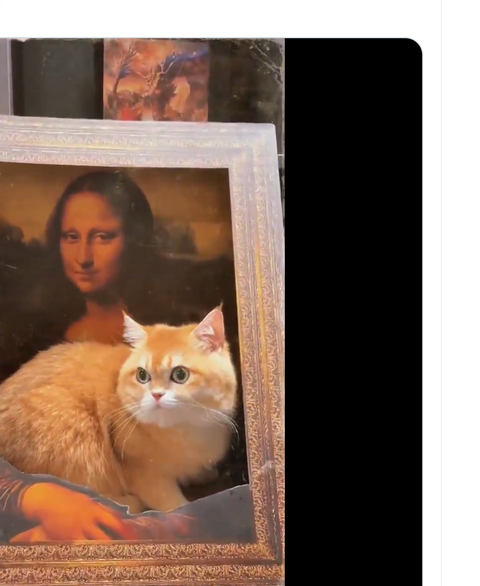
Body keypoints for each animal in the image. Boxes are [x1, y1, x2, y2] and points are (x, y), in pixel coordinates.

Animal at [0, 307, 238, 513]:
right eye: (142, 375)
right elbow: (173, 506)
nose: (156, 395)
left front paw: (202, 474)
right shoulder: (145, 475)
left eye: (180, 374)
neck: (185, 430)